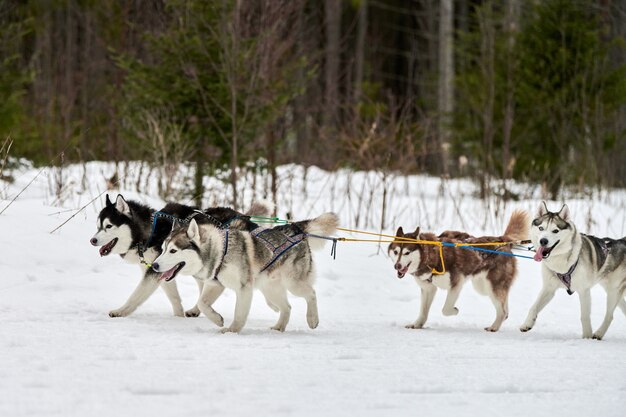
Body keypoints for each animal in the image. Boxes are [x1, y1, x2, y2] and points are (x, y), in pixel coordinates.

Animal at [89, 193, 268, 316]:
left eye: (109, 226)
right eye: (98, 226)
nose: (92, 240)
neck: (150, 231)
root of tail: (244, 218)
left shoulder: (153, 272)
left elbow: (136, 295)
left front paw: (121, 311)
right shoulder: (161, 268)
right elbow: (174, 297)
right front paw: (178, 316)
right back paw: (196, 309)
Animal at [151, 211, 336, 332]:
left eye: (173, 251)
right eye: (163, 249)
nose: (154, 265)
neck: (220, 252)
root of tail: (294, 228)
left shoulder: (244, 288)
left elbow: (239, 313)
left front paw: (232, 330)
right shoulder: (215, 284)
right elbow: (203, 303)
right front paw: (217, 319)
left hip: (292, 283)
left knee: (311, 293)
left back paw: (312, 319)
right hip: (270, 288)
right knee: (287, 307)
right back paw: (279, 327)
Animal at [390, 211, 528, 332]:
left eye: (407, 252)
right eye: (396, 252)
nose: (397, 266)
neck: (432, 255)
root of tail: (502, 240)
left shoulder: (456, 283)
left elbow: (445, 309)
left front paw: (454, 310)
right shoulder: (428, 288)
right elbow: (423, 311)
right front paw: (417, 324)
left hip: (491, 286)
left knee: (502, 311)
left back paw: (494, 327)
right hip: (483, 286)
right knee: (505, 308)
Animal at [520, 202, 620, 338]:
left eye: (555, 230)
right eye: (541, 228)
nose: (543, 241)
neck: (562, 262)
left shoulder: (584, 291)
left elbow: (584, 316)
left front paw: (587, 337)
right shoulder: (549, 289)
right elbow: (533, 307)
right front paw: (527, 323)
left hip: (612, 292)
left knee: (609, 315)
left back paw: (598, 334)